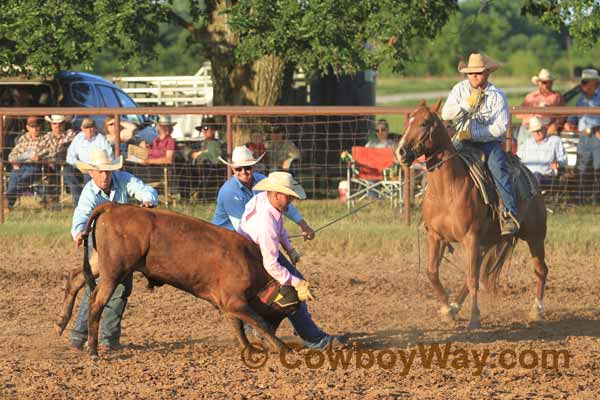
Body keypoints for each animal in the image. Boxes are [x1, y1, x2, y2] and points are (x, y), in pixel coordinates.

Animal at [398, 100, 548, 328]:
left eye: (424, 123)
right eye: (409, 121)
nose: (401, 152)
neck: (447, 189)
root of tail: (531, 178)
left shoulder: (471, 238)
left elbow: (472, 280)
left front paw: (474, 318)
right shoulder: (436, 236)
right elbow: (433, 273)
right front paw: (446, 308)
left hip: (534, 236)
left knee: (540, 269)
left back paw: (536, 310)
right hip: (488, 243)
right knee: (476, 273)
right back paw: (455, 306)